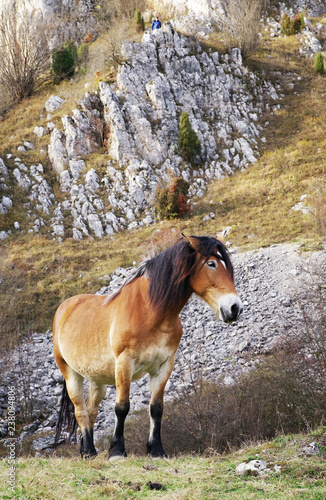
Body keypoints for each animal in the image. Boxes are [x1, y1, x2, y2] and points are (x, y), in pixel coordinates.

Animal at [52, 234, 242, 458]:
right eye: (211, 264)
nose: (235, 308)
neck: (150, 312)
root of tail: (65, 307)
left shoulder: (164, 366)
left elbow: (156, 408)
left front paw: (156, 449)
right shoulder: (124, 363)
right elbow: (122, 407)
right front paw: (117, 450)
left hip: (97, 378)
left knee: (91, 410)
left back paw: (86, 450)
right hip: (70, 373)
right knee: (80, 410)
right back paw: (89, 450)